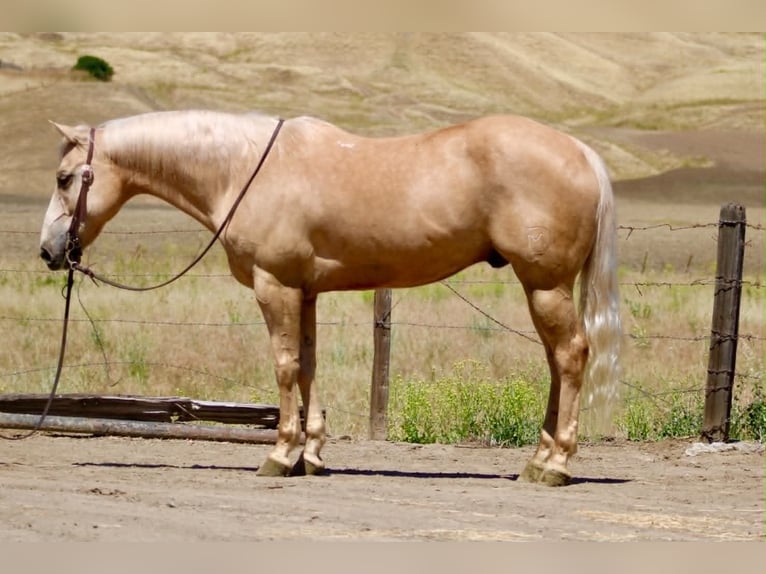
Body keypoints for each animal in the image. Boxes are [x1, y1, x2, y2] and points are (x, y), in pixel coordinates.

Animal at [39, 110, 621, 486]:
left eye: (65, 178)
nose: (49, 250)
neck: (244, 170)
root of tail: (581, 152)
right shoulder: (305, 292)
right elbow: (308, 366)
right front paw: (312, 455)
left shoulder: (274, 286)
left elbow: (284, 367)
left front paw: (280, 455)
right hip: (543, 287)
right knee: (557, 362)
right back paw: (537, 460)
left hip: (544, 285)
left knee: (571, 356)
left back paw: (556, 465)